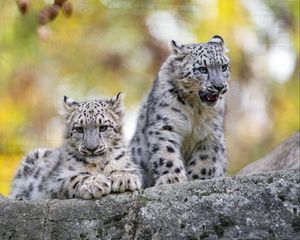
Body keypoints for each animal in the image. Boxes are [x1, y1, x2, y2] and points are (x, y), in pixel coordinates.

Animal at [129, 35, 230, 187]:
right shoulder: (165, 125)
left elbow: (204, 158)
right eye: (202, 69)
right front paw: (173, 177)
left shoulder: (210, 132)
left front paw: (198, 178)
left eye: (224, 67)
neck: (196, 109)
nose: (219, 86)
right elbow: (167, 152)